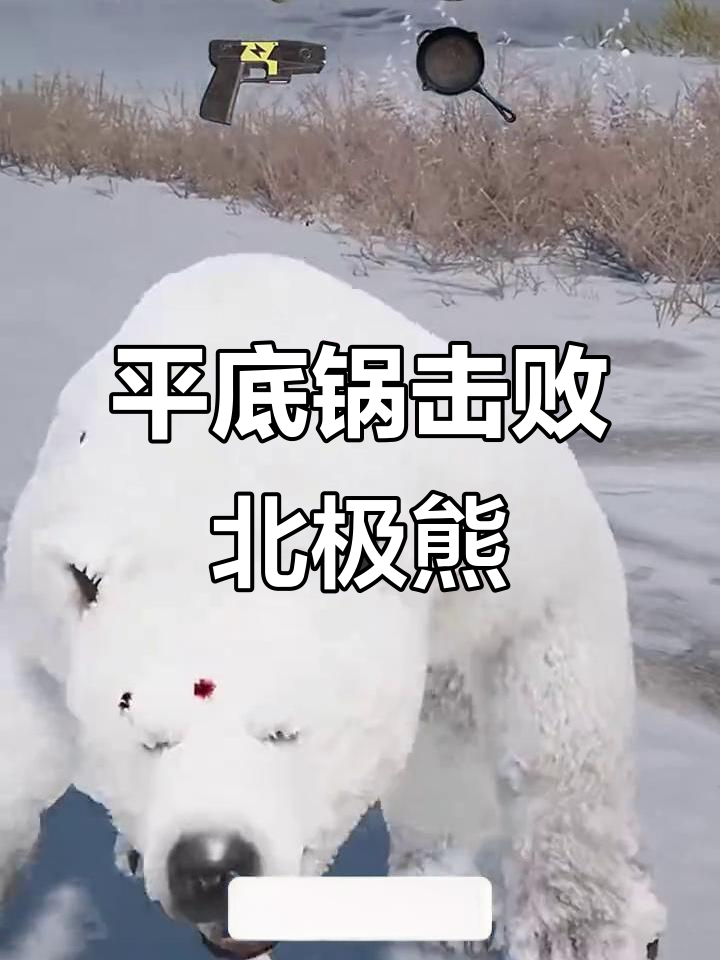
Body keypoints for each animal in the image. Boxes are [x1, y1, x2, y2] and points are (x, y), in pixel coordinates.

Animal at [0, 254, 665, 960]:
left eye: (285, 732)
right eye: (149, 739)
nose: (211, 869)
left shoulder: (475, 509)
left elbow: (552, 666)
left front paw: (587, 930)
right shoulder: (47, 583)